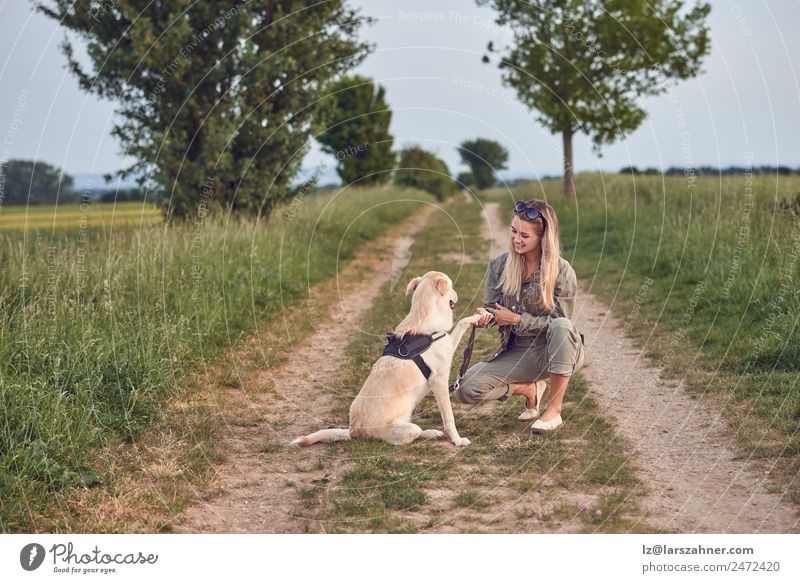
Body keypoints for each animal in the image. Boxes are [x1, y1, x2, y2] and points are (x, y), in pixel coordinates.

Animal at [294, 272, 482, 448]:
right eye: (451, 286)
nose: (457, 294)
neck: (423, 317)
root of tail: (353, 431)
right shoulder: (439, 381)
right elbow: (449, 417)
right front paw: (458, 440)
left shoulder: (449, 344)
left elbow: (462, 322)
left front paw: (479, 316)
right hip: (406, 429)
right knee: (412, 435)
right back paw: (429, 433)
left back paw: (432, 433)